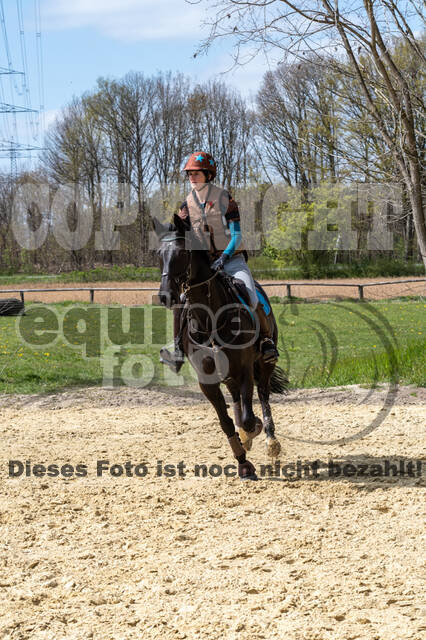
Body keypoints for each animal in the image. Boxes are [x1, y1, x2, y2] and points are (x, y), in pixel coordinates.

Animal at [153, 215, 286, 480]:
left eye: (182, 253)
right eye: (159, 254)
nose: (165, 296)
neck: (211, 319)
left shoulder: (245, 370)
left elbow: (249, 418)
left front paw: (252, 431)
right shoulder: (207, 380)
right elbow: (226, 422)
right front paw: (243, 462)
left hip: (262, 363)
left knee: (263, 394)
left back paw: (270, 440)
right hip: (228, 375)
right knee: (236, 399)